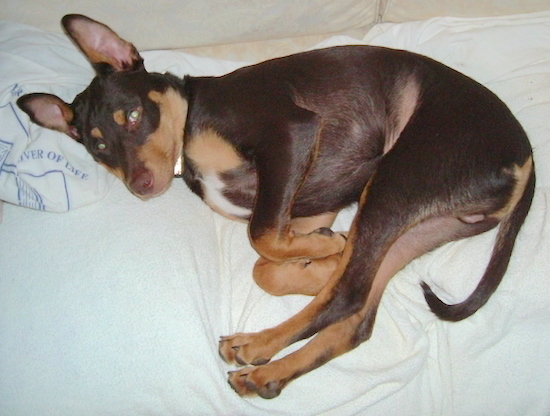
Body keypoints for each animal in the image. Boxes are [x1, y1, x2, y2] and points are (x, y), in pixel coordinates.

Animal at [17, 15, 536, 400]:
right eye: (99, 148)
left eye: (132, 114)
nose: (142, 186)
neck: (190, 127)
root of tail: (526, 158)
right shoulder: (307, 205)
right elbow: (267, 263)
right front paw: (318, 259)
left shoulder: (288, 136)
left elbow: (261, 238)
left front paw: (321, 255)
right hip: (418, 220)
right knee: (356, 313)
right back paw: (270, 369)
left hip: (397, 180)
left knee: (348, 294)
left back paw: (258, 345)